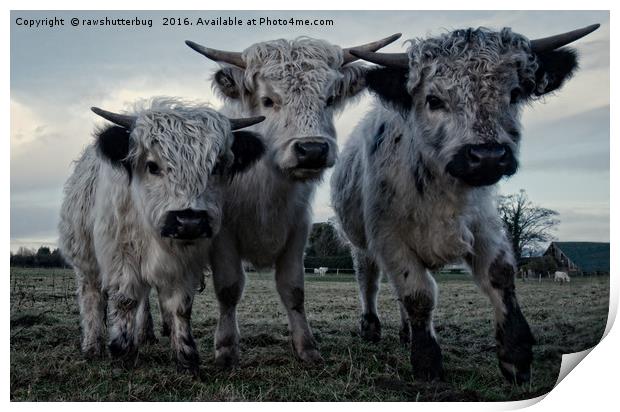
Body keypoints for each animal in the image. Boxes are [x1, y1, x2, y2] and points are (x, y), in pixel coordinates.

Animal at [59, 98, 268, 374]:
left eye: (216, 167)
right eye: (152, 166)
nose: (189, 221)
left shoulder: (186, 264)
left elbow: (180, 306)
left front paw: (185, 357)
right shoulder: (119, 257)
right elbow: (125, 300)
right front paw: (122, 352)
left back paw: (145, 334)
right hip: (85, 262)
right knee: (92, 297)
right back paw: (92, 346)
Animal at [183, 33, 402, 366]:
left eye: (329, 99)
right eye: (268, 100)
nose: (312, 150)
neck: (266, 190)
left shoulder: (297, 230)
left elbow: (293, 289)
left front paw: (307, 346)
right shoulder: (224, 237)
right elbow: (229, 288)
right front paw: (226, 349)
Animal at [332, 23, 600, 384]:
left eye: (514, 93)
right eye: (433, 100)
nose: (488, 156)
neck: (440, 187)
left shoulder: (484, 223)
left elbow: (500, 274)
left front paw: (515, 355)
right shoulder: (389, 237)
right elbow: (417, 294)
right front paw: (427, 362)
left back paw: (405, 332)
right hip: (360, 244)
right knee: (369, 280)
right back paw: (371, 327)